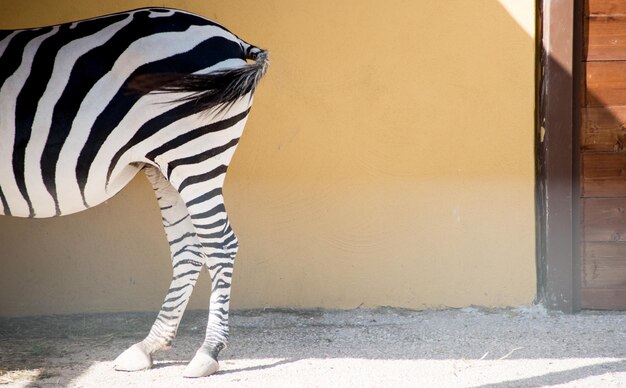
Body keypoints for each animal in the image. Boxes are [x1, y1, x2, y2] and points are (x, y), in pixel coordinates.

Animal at [0, 8, 266, 378]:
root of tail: (231, 38)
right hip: (165, 165)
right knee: (187, 248)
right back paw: (147, 347)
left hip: (194, 155)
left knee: (221, 244)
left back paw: (208, 351)